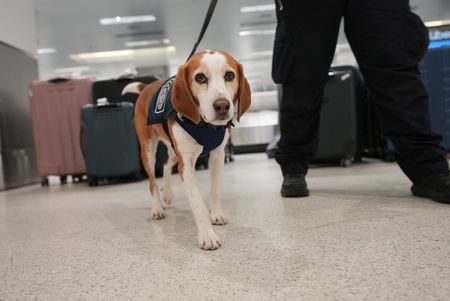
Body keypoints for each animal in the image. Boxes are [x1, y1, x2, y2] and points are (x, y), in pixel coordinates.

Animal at [126, 50, 251, 250]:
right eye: (200, 77)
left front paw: (216, 214)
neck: (205, 126)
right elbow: (198, 203)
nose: (222, 105)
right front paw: (207, 235)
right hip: (148, 151)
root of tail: (147, 87)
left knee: (166, 165)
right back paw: (157, 208)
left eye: (230, 75)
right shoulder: (187, 165)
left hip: (174, 151)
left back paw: (168, 194)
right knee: (152, 181)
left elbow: (215, 190)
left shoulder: (217, 156)